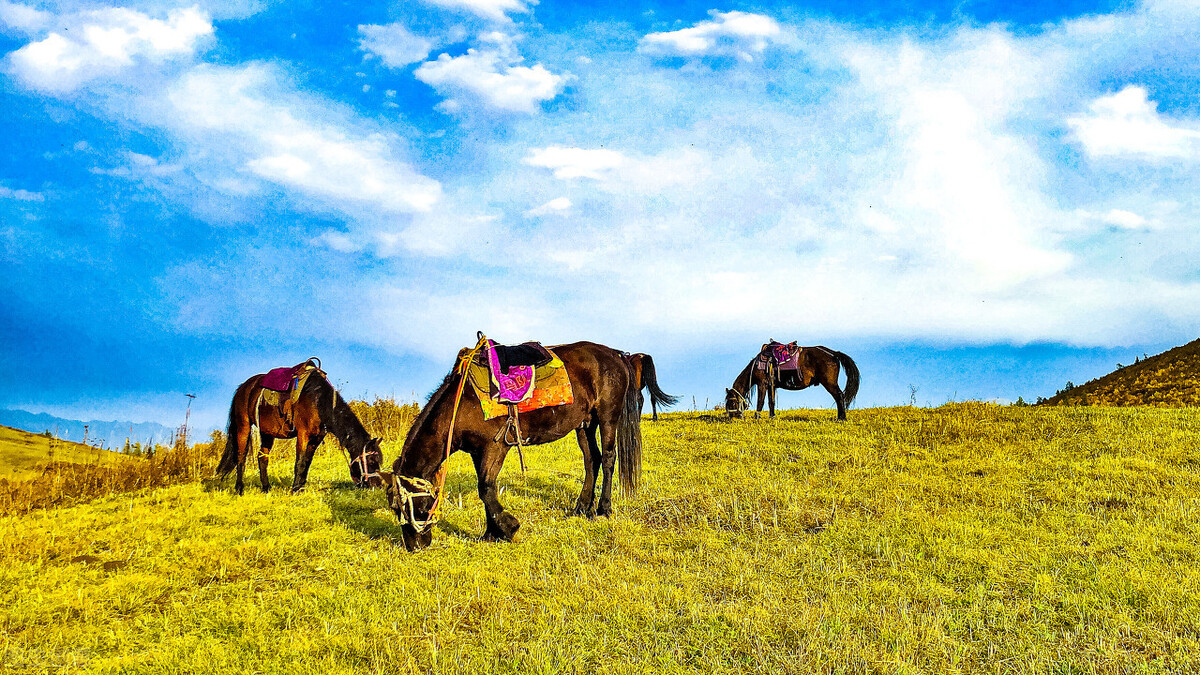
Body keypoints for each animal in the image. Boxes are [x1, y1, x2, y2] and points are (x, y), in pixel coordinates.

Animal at [216, 362, 381, 494]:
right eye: (371, 461)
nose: (377, 486)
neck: (318, 400)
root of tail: (243, 387)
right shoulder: (303, 434)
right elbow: (300, 461)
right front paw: (295, 489)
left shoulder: (317, 438)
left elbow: (307, 462)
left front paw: (300, 487)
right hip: (243, 425)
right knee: (241, 455)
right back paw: (239, 489)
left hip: (267, 432)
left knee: (262, 457)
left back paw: (266, 488)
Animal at [374, 338, 643, 550]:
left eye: (403, 506)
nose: (415, 546)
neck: (462, 404)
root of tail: (616, 354)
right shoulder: (477, 451)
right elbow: (486, 488)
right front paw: (491, 533)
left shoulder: (495, 447)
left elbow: (486, 488)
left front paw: (508, 527)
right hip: (584, 424)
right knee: (591, 460)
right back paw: (581, 507)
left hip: (607, 416)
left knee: (608, 459)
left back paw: (603, 509)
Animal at [724, 343, 859, 417]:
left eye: (731, 402)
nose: (732, 418)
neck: (758, 365)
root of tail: (834, 353)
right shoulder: (771, 385)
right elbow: (771, 402)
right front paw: (772, 416)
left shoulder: (762, 384)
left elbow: (760, 402)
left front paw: (757, 418)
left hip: (829, 383)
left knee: (839, 396)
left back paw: (841, 418)